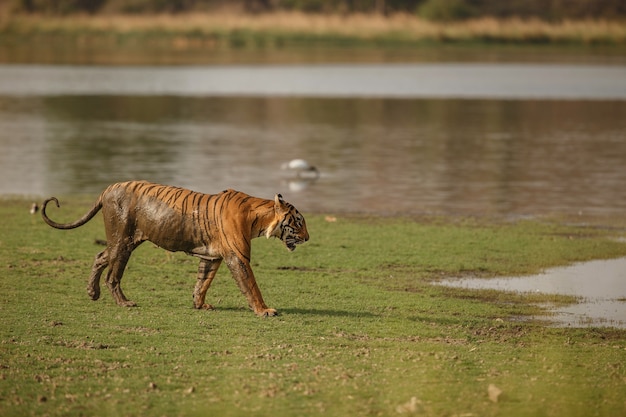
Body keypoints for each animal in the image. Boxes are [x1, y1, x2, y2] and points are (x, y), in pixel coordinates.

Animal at [40, 180, 308, 316]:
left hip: (124, 241)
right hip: (122, 242)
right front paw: (264, 310)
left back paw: (92, 293)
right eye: (298, 222)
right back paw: (124, 303)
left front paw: (200, 305)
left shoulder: (212, 257)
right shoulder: (237, 257)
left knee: (99, 256)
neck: (259, 219)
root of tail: (109, 188)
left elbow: (202, 283)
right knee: (112, 275)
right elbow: (251, 285)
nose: (307, 238)